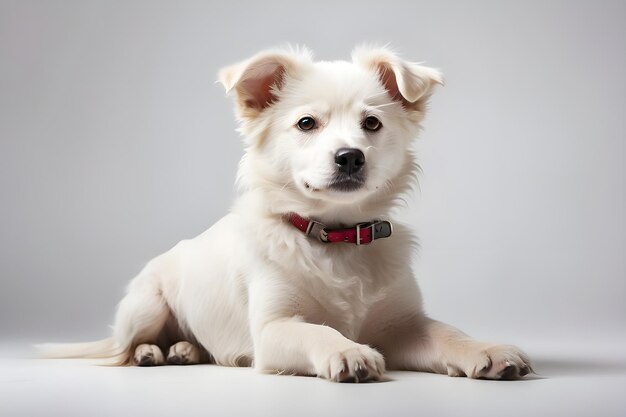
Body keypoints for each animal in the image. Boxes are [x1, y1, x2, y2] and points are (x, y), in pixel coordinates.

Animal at [41, 44, 532, 380]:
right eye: (306, 124)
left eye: (372, 123)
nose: (350, 157)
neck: (337, 238)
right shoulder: (274, 331)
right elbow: (318, 331)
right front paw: (348, 351)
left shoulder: (405, 326)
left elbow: (450, 334)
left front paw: (487, 350)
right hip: (146, 305)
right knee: (123, 350)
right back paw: (149, 353)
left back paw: (183, 351)